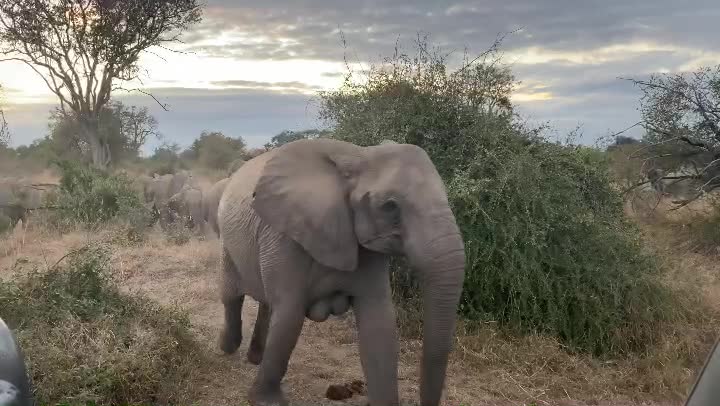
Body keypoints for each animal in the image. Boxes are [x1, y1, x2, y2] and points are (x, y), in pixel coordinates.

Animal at [217, 139, 464, 406]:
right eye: (389, 206)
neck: (358, 155)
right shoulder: (285, 235)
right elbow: (290, 315)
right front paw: (266, 401)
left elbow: (379, 325)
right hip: (229, 242)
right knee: (231, 295)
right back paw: (227, 347)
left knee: (265, 303)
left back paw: (255, 358)